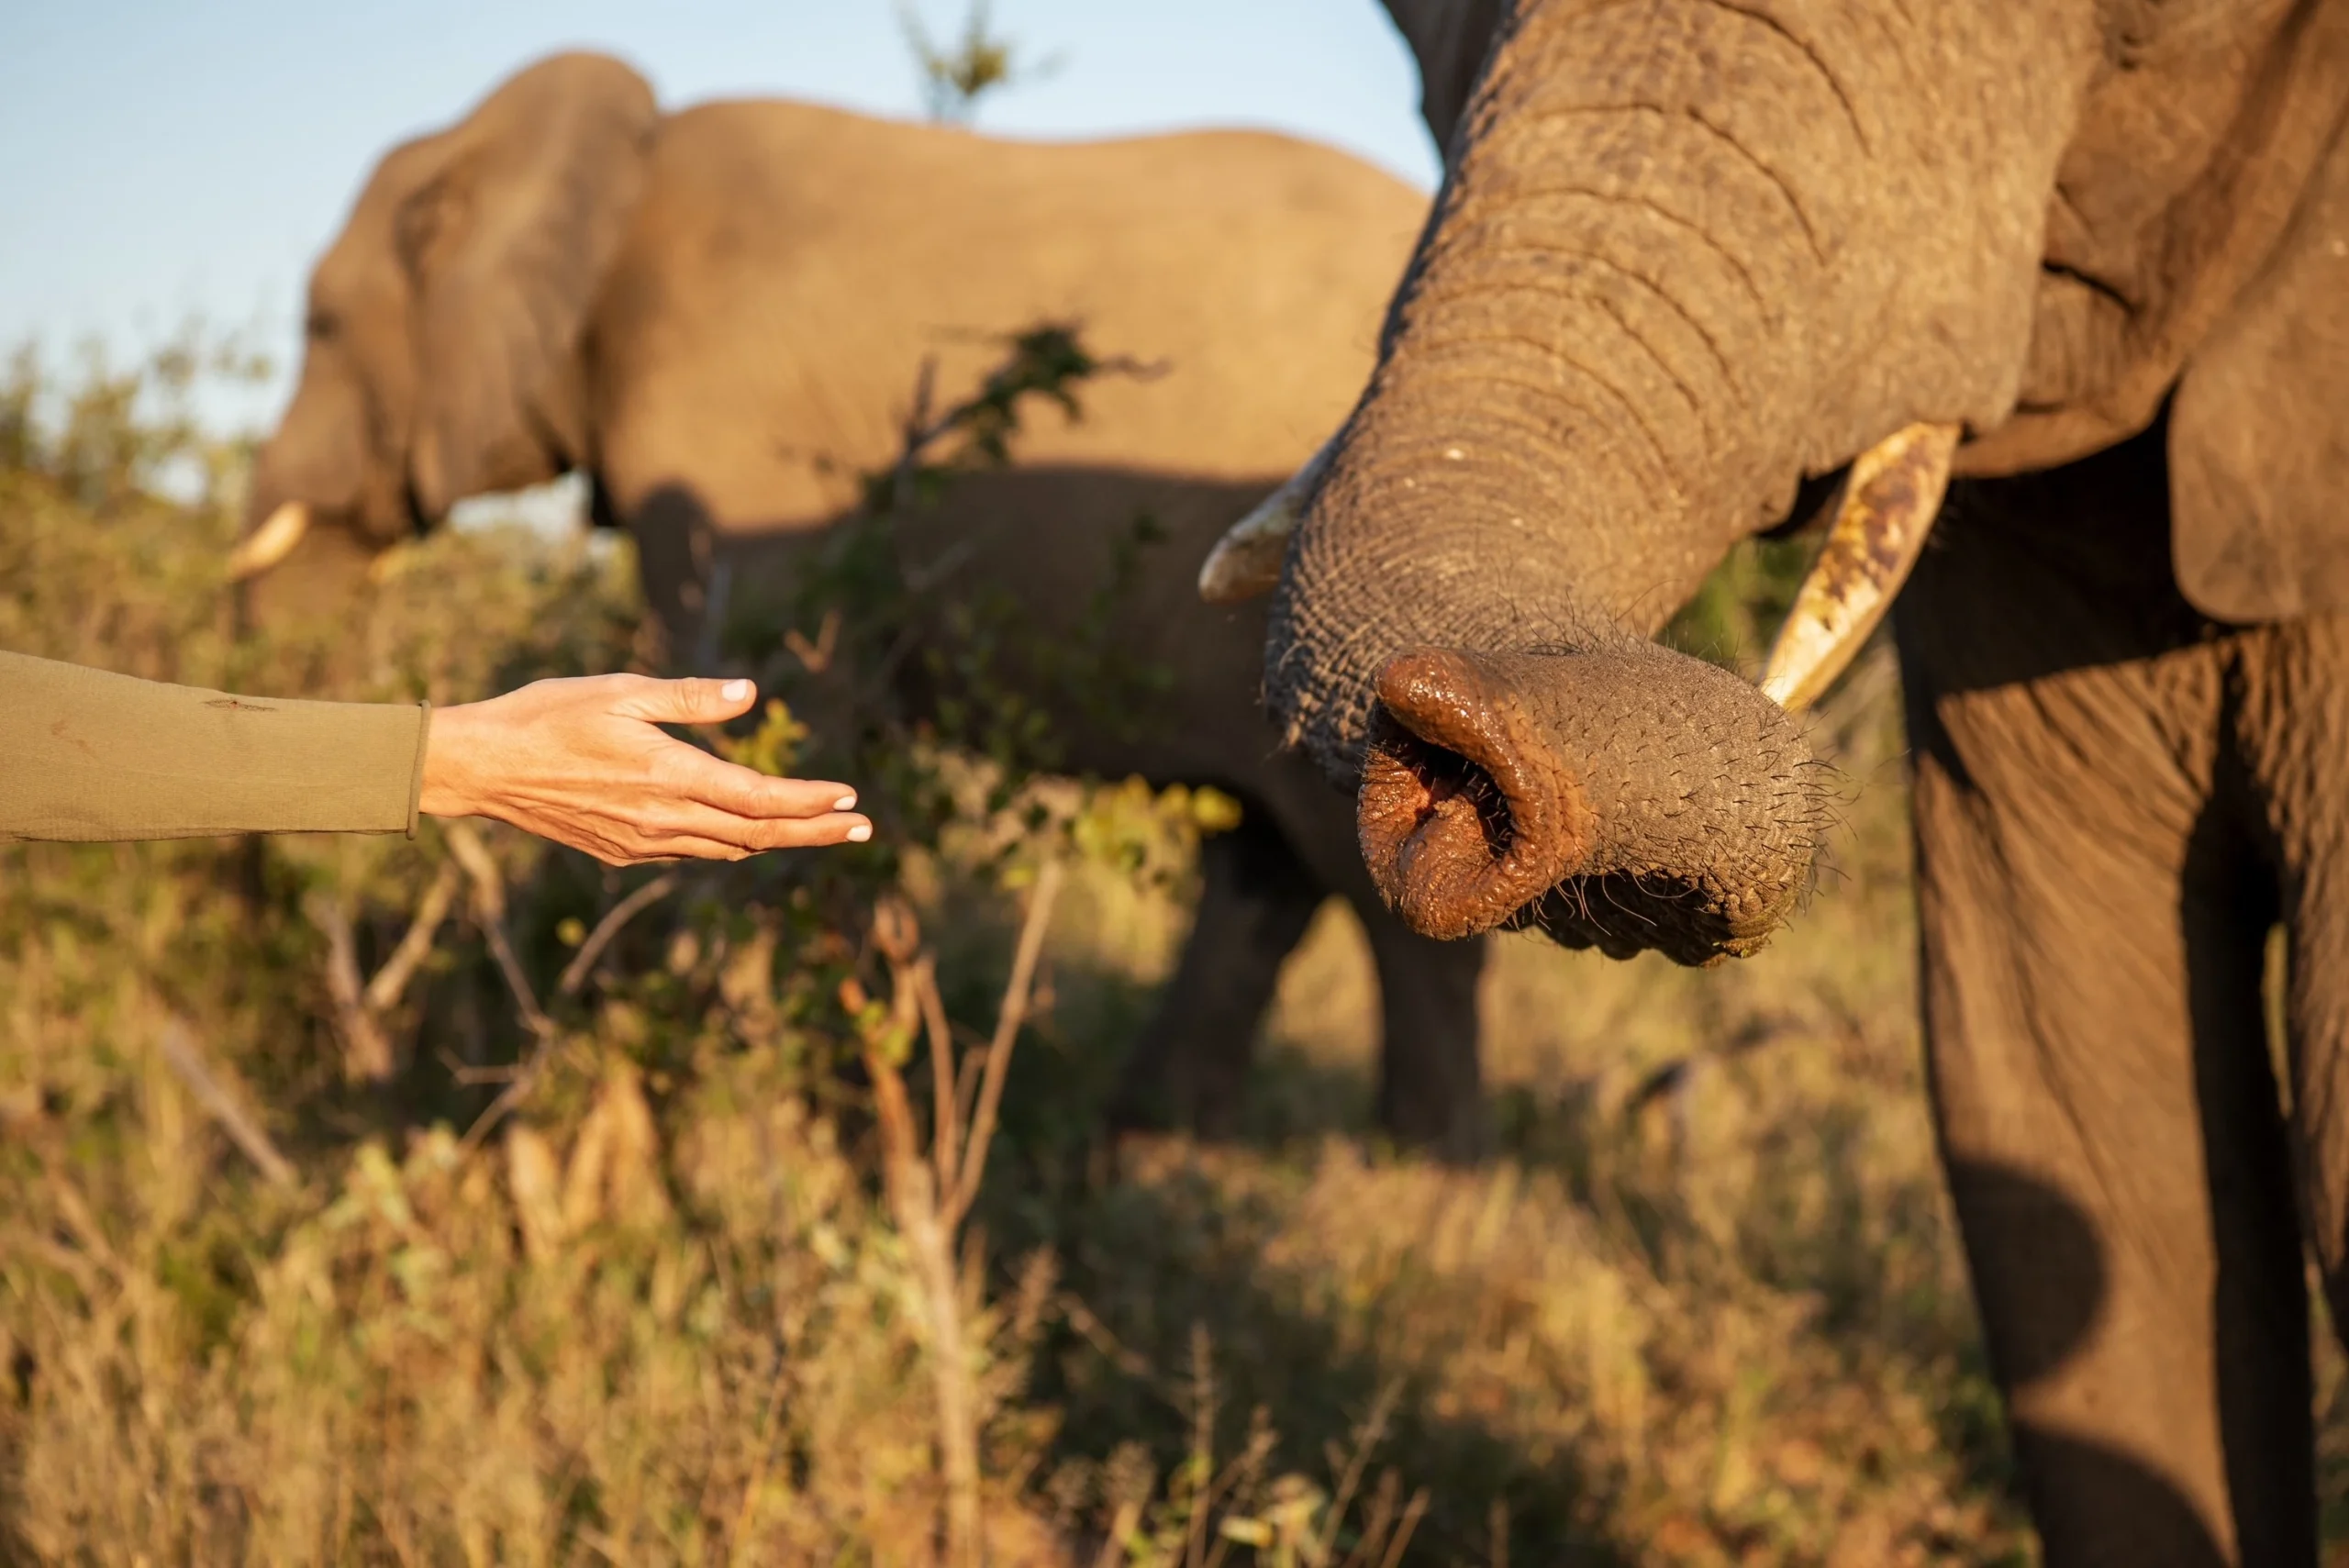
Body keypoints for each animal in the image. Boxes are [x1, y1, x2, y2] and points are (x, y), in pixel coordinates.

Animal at [229, 52, 1495, 1157]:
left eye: (319, 328)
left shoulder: (726, 438)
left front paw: (743, 1137)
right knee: (1266, 863)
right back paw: (1148, 1153)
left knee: (1383, 891)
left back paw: (1418, 1187)